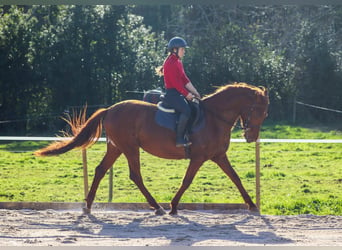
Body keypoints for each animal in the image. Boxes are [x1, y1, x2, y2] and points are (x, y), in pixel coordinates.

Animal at [35, 82, 270, 215]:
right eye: (259, 111)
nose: (251, 137)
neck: (214, 117)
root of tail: (110, 109)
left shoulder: (219, 156)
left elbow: (236, 178)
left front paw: (252, 205)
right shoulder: (198, 157)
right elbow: (187, 181)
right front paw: (173, 206)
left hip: (116, 148)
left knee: (101, 170)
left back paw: (88, 205)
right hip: (130, 148)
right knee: (135, 175)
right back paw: (157, 207)